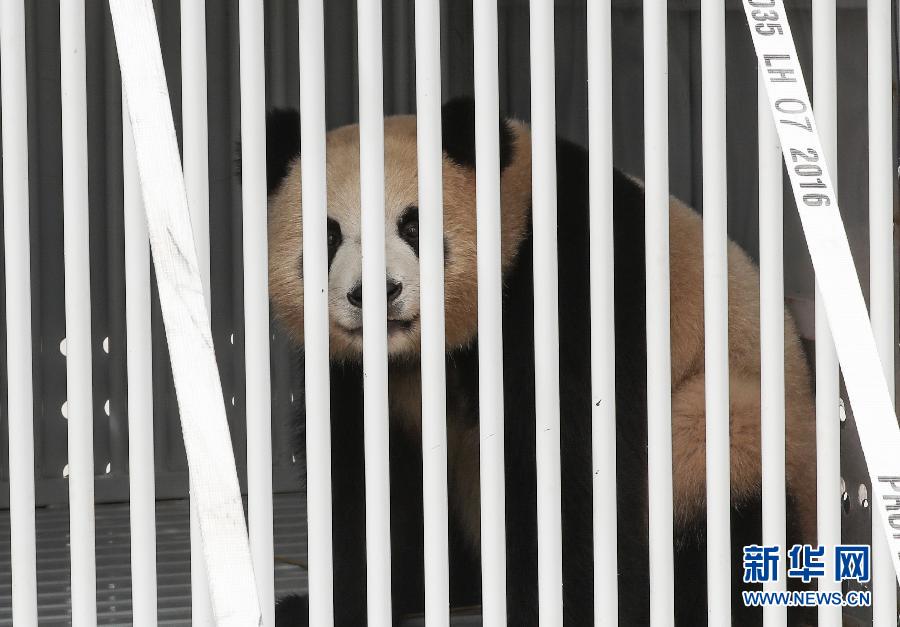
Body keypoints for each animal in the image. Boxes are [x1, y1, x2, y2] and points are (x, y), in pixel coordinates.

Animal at [264, 98, 817, 626]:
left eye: (413, 225)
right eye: (329, 236)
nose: (376, 294)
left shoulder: (575, 282)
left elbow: (570, 463)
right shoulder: (351, 371)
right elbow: (361, 479)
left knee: (723, 460)